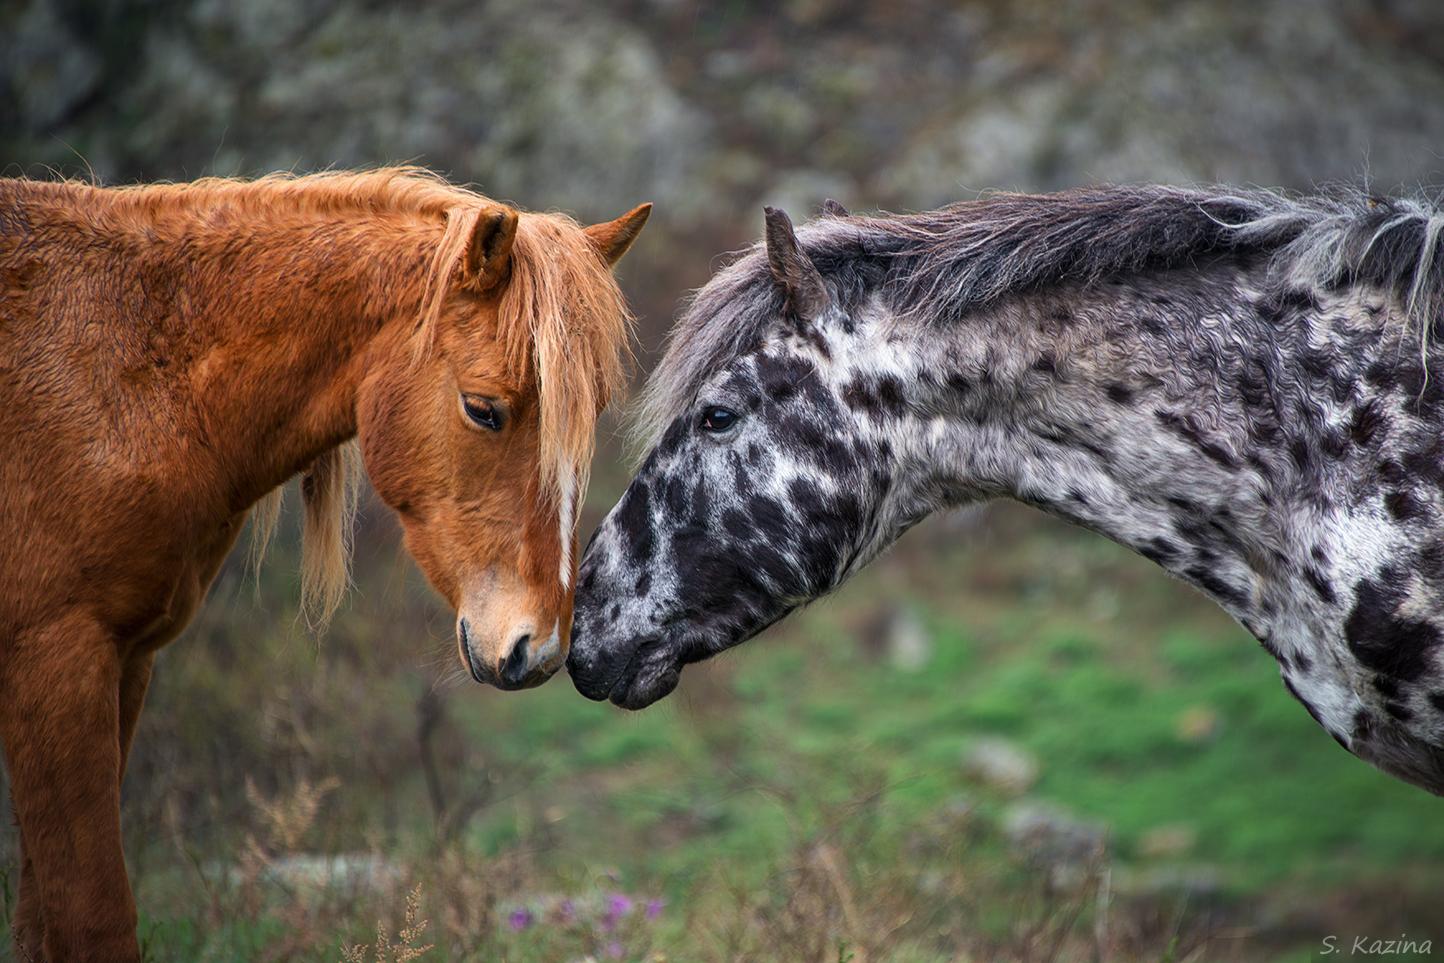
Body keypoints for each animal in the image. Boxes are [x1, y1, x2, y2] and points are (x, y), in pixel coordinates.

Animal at [0, 169, 649, 958]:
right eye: (483, 409)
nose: (541, 647)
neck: (122, 375)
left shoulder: (125, 660)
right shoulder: (54, 660)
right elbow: (92, 914)